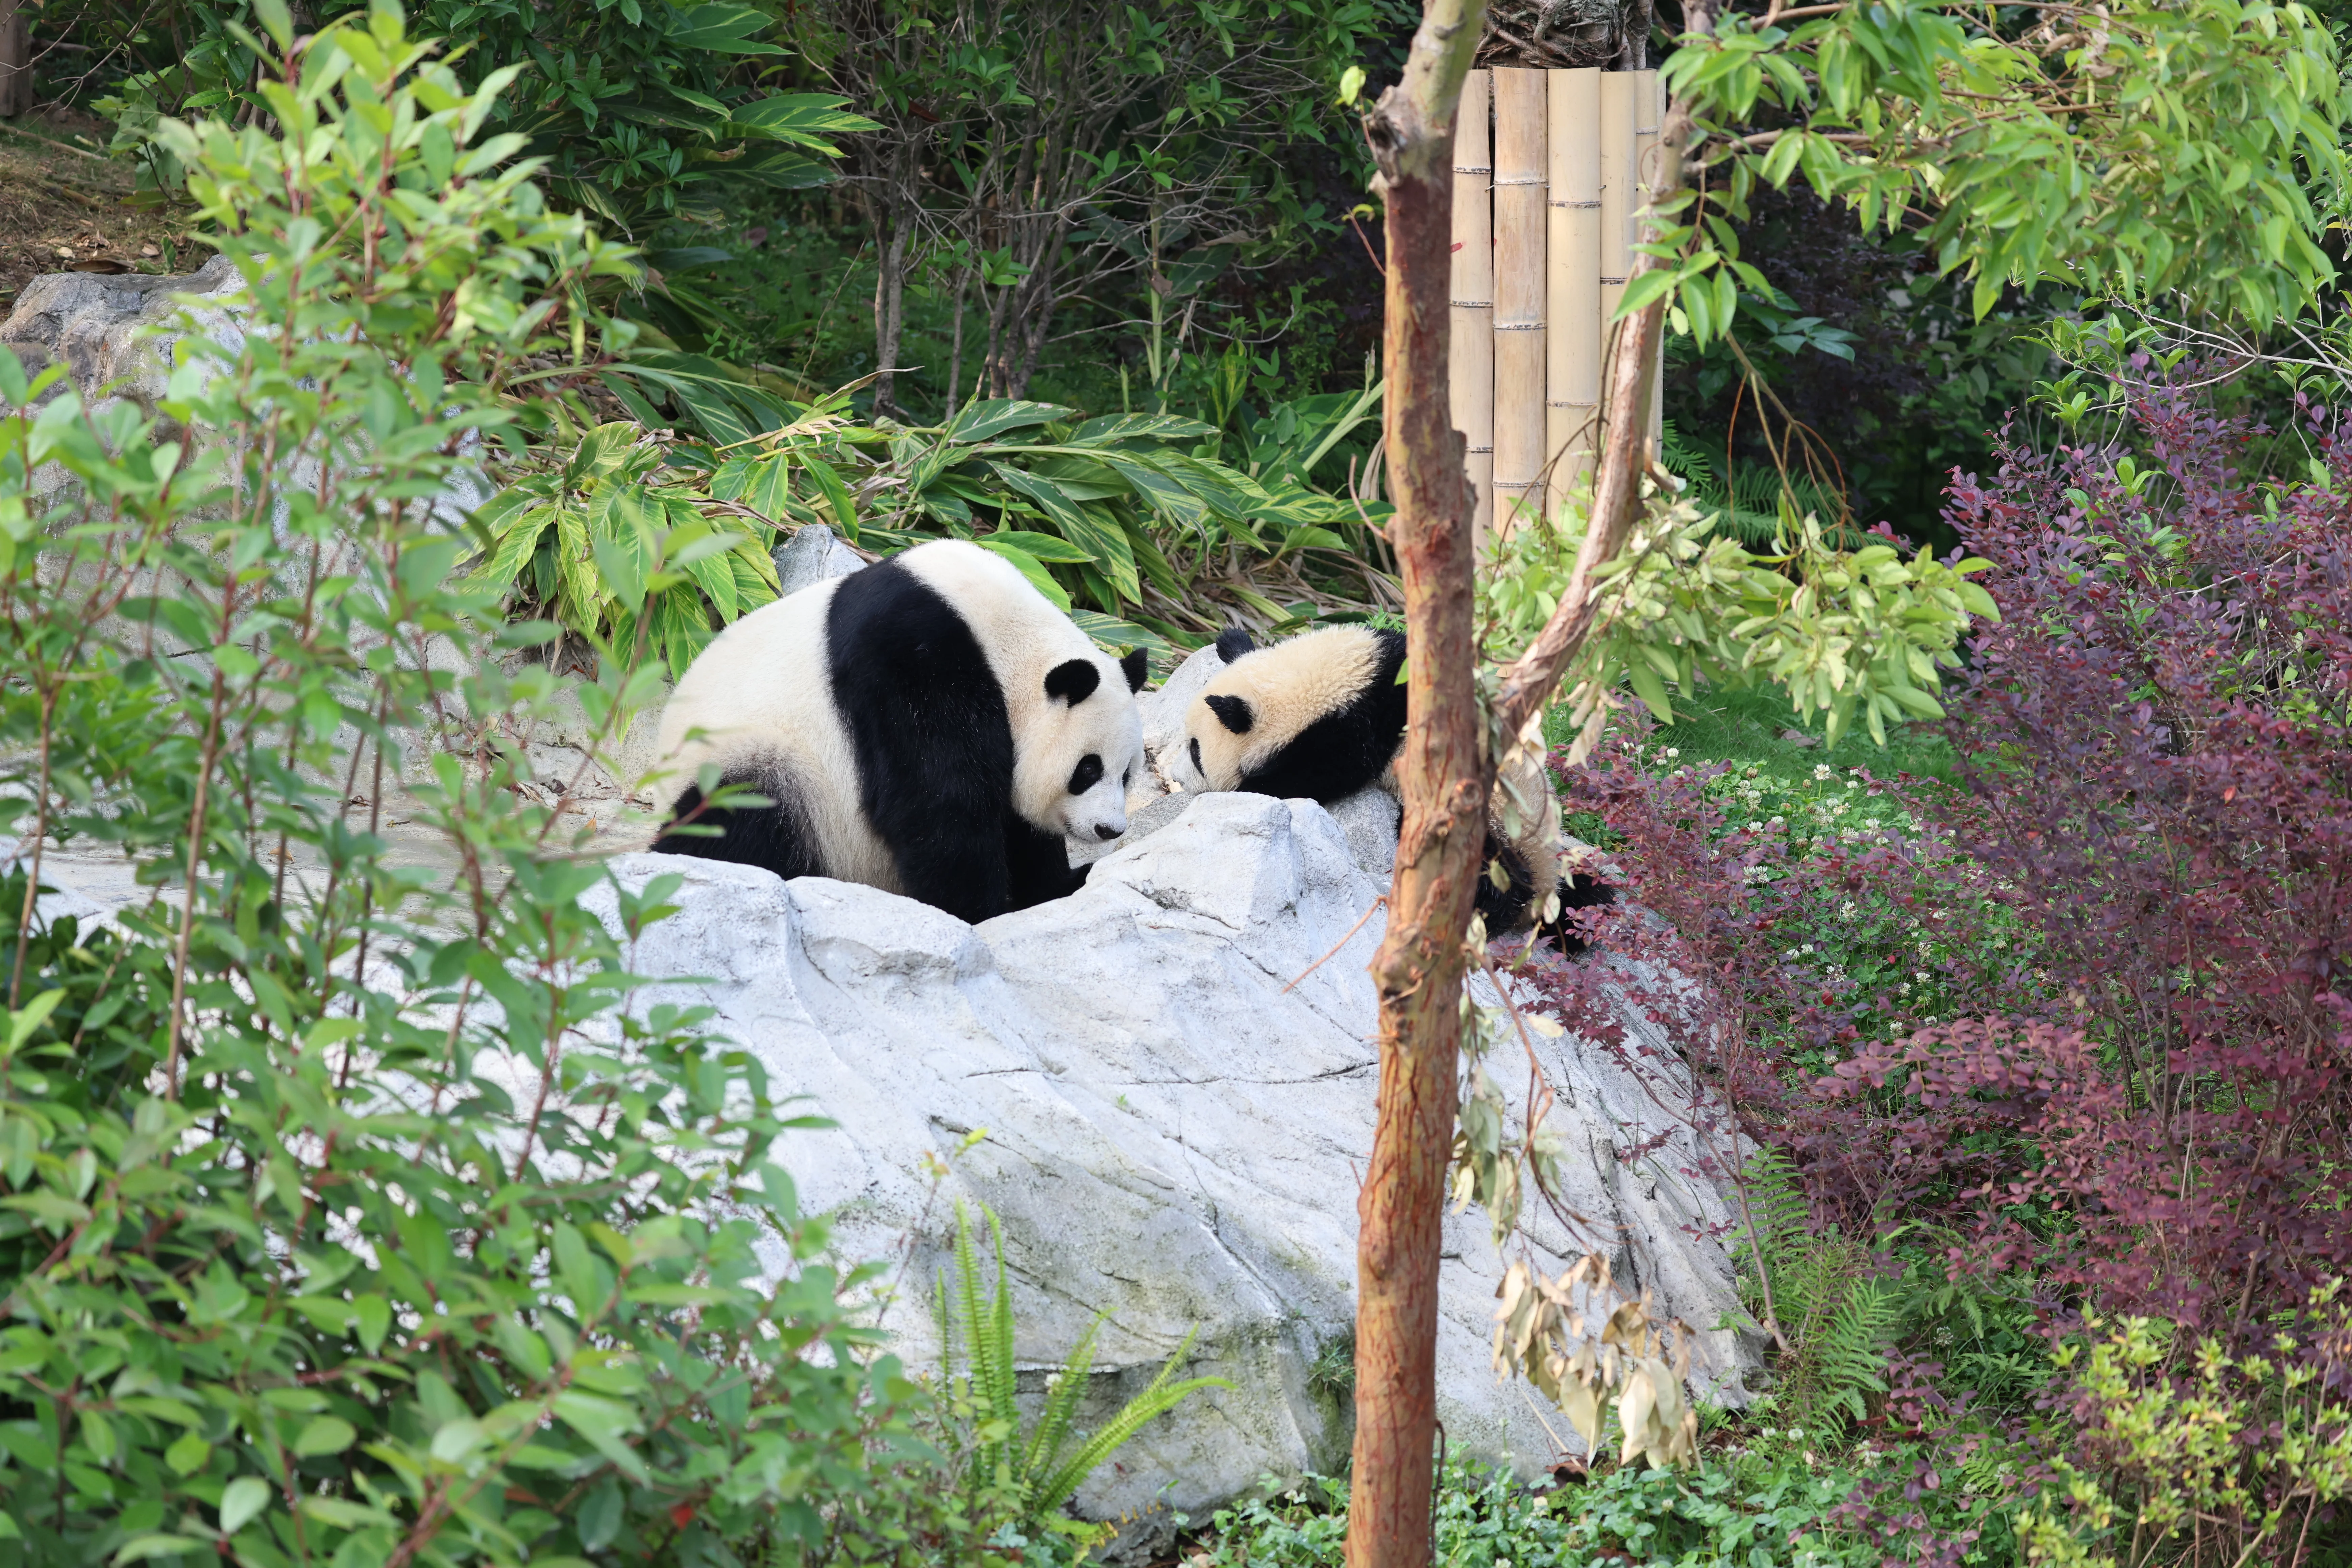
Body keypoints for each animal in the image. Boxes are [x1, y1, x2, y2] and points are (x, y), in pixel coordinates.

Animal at [648, 538, 1149, 925]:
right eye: (1088, 769)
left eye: (1126, 775)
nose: (1109, 829)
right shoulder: (909, 660)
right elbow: (938, 796)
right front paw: (980, 910)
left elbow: (1016, 819)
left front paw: (1058, 885)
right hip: (761, 759)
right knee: (742, 815)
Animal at [1167, 624, 1615, 953]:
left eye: (1195, 750)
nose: (1178, 777)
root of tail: (1547, 882)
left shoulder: (1357, 727)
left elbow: (1319, 774)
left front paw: (1254, 784)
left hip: (1497, 817)